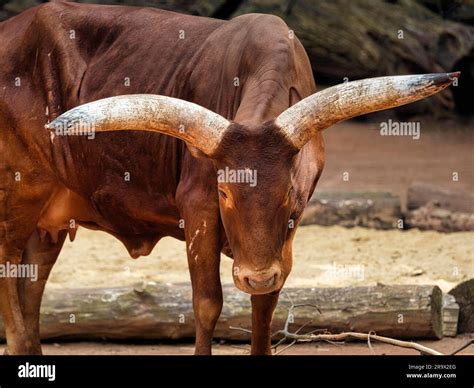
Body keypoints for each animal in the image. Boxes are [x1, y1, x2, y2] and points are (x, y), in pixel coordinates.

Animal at [0, 2, 460, 354]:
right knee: (9, 274)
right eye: (224, 191)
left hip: (48, 221)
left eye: (289, 192)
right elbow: (207, 303)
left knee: (32, 286)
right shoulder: (198, 210)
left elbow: (266, 305)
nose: (255, 274)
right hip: (17, 194)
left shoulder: (286, 236)